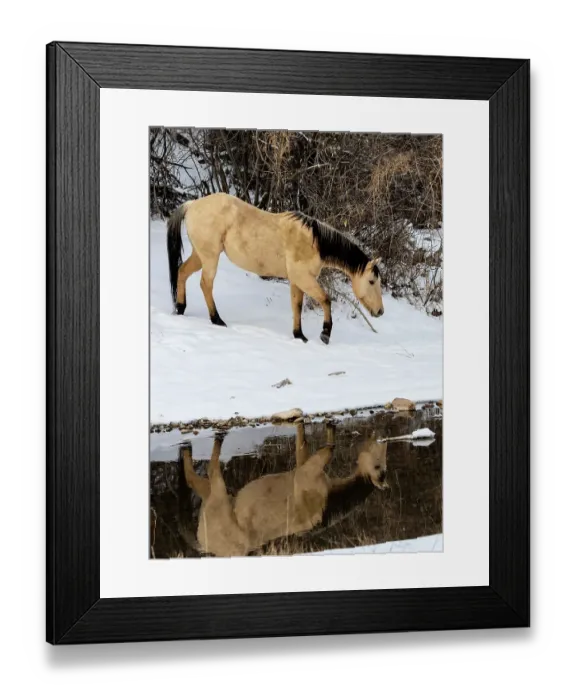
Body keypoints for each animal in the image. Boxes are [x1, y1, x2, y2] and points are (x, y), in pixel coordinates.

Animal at [166, 192, 384, 345]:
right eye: (372, 281)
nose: (380, 311)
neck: (314, 242)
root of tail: (192, 204)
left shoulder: (297, 281)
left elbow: (297, 306)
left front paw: (299, 336)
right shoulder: (304, 278)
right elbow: (325, 299)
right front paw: (325, 334)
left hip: (200, 256)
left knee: (182, 272)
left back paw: (181, 308)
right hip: (210, 257)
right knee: (206, 284)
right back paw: (217, 319)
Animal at [180, 423, 389, 558]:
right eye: (378, 466)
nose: (383, 438)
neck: (332, 498)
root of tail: (206, 546)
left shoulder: (306, 472)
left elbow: (328, 447)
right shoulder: (304, 468)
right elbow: (307, 443)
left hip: (218, 499)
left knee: (205, 471)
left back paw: (208, 438)